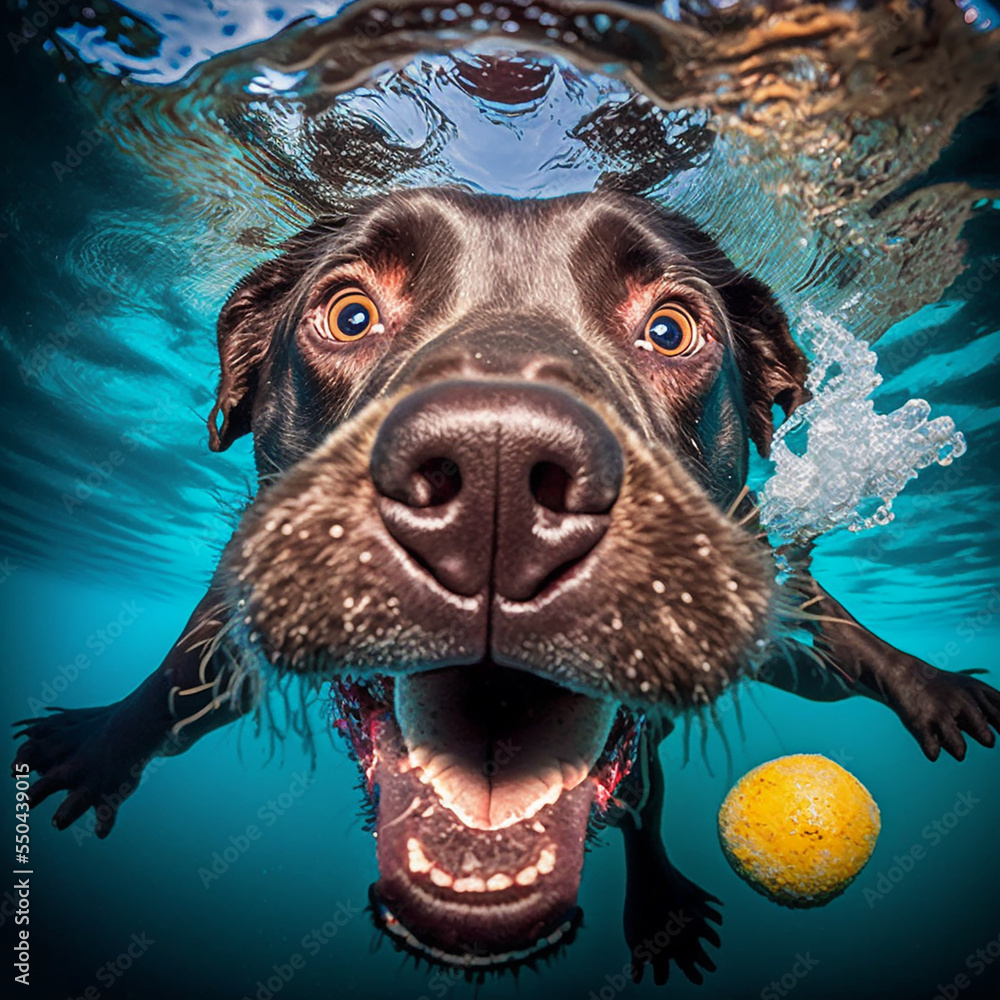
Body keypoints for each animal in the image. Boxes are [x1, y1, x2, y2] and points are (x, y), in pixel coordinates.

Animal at [15, 188, 1000, 984]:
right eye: (349, 314)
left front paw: (929, 685)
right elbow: (186, 679)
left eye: (670, 329)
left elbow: (830, 638)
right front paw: (100, 744)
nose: (497, 474)